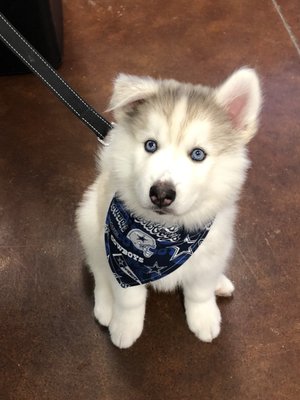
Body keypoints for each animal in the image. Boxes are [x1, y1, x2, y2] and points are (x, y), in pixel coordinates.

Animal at [76, 69, 262, 346]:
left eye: (198, 154)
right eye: (150, 145)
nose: (161, 194)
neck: (164, 232)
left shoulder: (213, 250)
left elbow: (200, 291)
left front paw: (204, 318)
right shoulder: (121, 261)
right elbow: (129, 299)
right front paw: (125, 327)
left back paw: (220, 283)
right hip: (90, 222)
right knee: (98, 268)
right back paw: (105, 306)